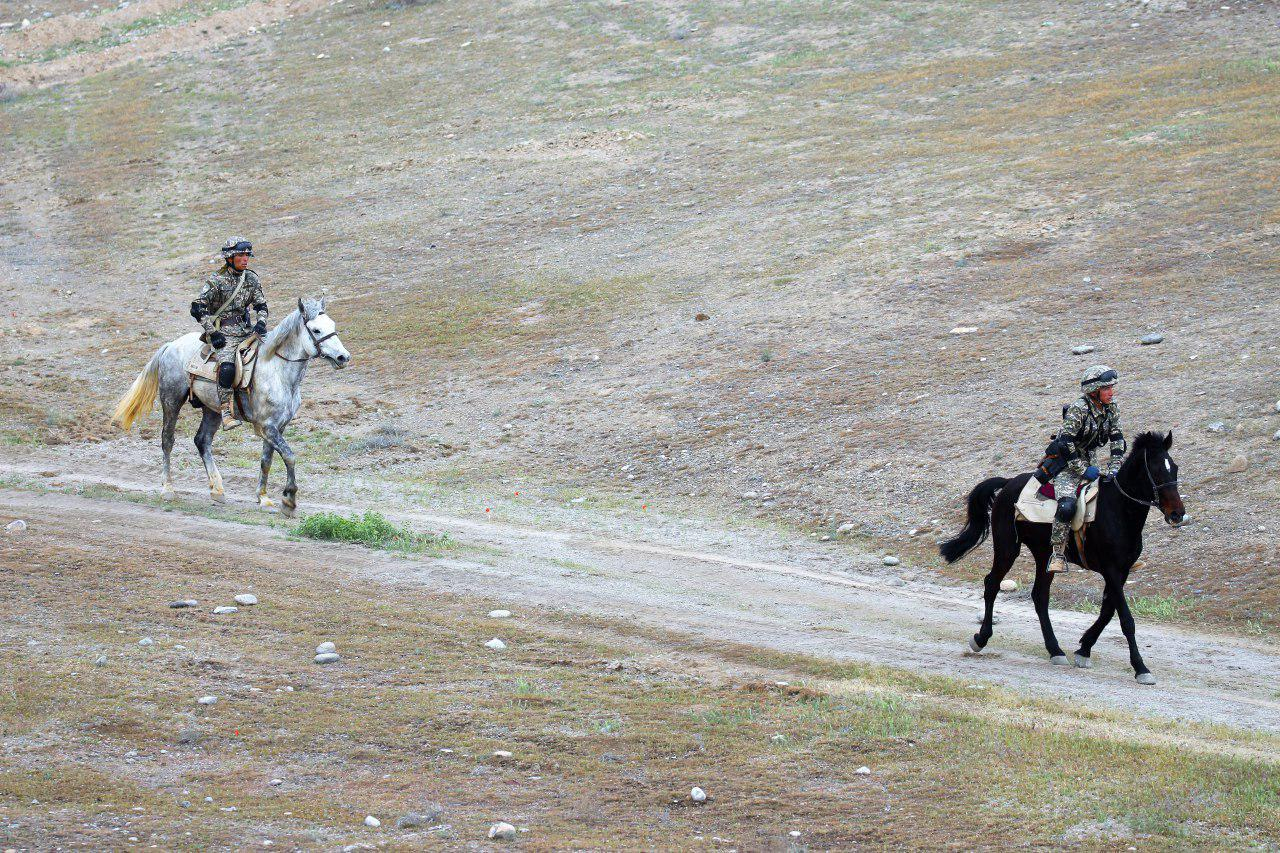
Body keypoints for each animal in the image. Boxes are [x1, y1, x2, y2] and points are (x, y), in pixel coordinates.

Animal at [936, 427, 1182, 681]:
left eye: (1174, 468)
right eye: (1155, 471)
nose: (1177, 514)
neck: (1118, 510)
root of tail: (1009, 483)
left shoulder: (1121, 572)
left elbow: (1107, 611)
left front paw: (1084, 649)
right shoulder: (1111, 570)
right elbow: (1125, 618)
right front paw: (1141, 667)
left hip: (1045, 555)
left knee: (1039, 596)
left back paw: (1055, 649)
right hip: (1007, 548)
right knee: (992, 584)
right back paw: (981, 638)